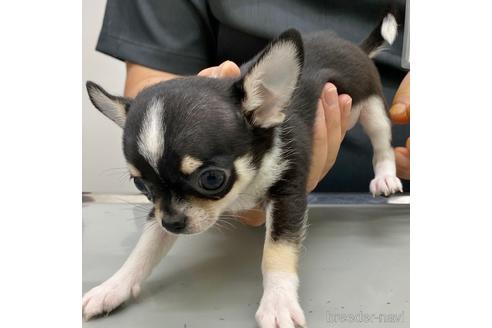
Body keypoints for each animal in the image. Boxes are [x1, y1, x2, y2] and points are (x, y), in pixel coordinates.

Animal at [83, 12, 400, 326]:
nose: (172, 223)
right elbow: (144, 248)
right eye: (141, 186)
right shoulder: (159, 212)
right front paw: (113, 287)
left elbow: (276, 251)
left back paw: (385, 177)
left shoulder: (288, 193)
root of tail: (354, 47)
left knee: (381, 143)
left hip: (372, 105)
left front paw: (278, 301)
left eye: (212, 179)